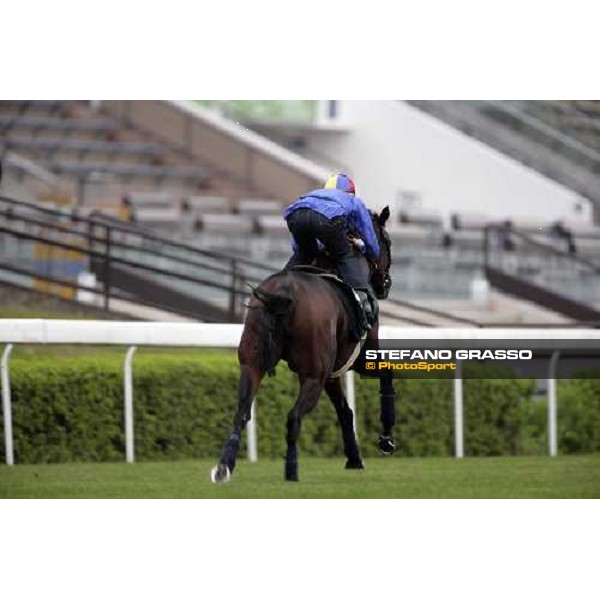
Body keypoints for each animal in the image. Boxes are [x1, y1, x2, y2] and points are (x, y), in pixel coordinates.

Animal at [212, 206, 398, 482]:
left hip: (252, 364)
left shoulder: (332, 373)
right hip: (312, 376)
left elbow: (344, 410)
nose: (386, 284)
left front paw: (354, 458)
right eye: (388, 242)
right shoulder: (362, 358)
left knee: (241, 412)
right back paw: (291, 470)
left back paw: (224, 467)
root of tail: (282, 294)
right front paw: (386, 439)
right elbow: (386, 377)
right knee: (293, 417)